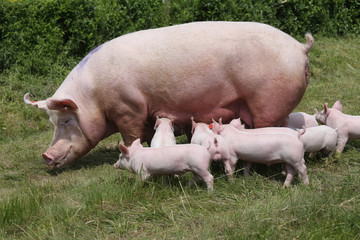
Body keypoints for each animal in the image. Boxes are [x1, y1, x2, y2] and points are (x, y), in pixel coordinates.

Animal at [23, 21, 314, 168]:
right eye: (51, 122)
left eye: (66, 120)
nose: (46, 156)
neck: (94, 97)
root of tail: (299, 47)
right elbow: (146, 133)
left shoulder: (128, 109)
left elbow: (130, 136)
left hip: (267, 101)